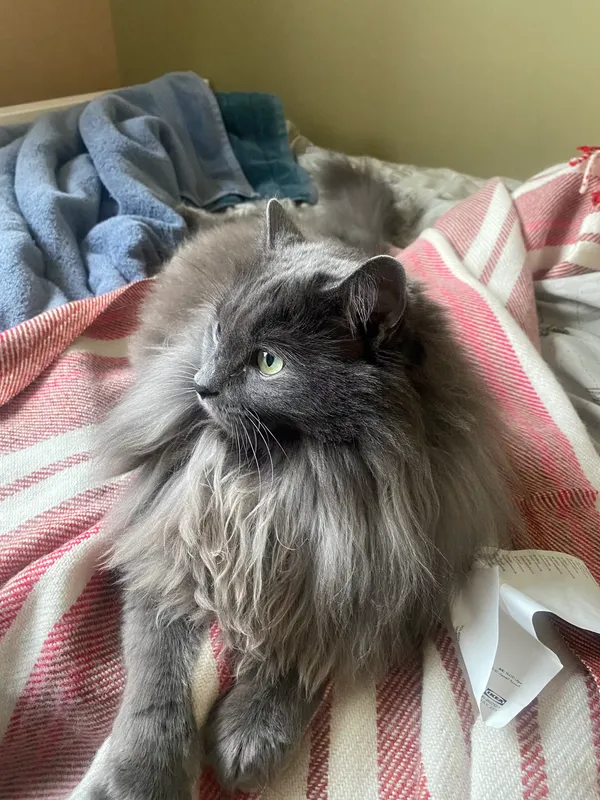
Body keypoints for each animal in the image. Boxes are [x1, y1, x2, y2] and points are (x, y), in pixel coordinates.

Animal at [89, 158, 510, 800]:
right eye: (218, 329)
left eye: (269, 362)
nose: (201, 386)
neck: (289, 479)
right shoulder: (169, 553)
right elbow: (156, 681)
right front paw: (143, 776)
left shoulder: (352, 576)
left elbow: (298, 652)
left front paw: (248, 736)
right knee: (205, 213)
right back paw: (169, 212)